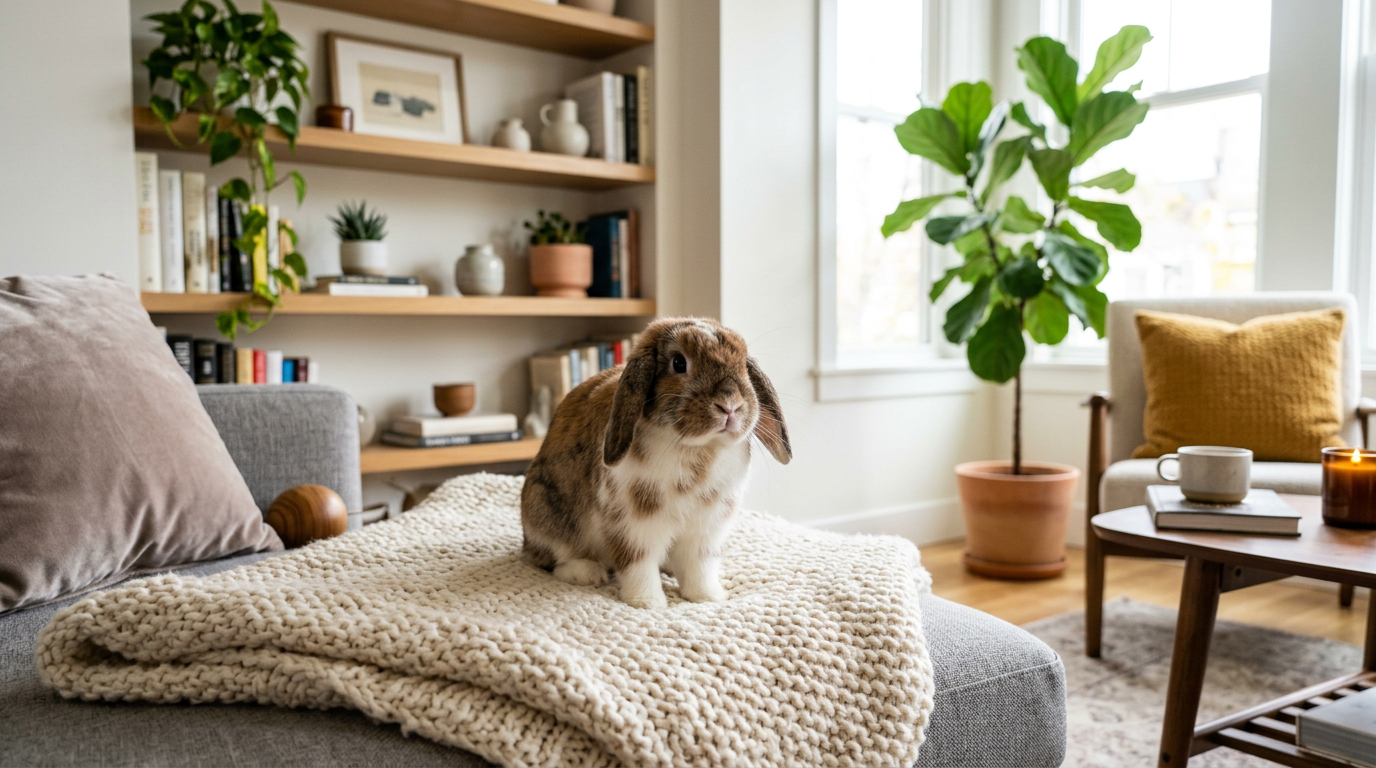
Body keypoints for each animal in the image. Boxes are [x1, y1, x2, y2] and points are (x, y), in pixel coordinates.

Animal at [520, 317, 791, 609]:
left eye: (743, 364)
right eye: (679, 363)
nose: (730, 406)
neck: (697, 448)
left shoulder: (705, 530)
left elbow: (700, 566)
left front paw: (707, 597)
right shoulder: (634, 525)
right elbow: (638, 564)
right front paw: (647, 602)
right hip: (546, 511)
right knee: (551, 558)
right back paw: (587, 573)